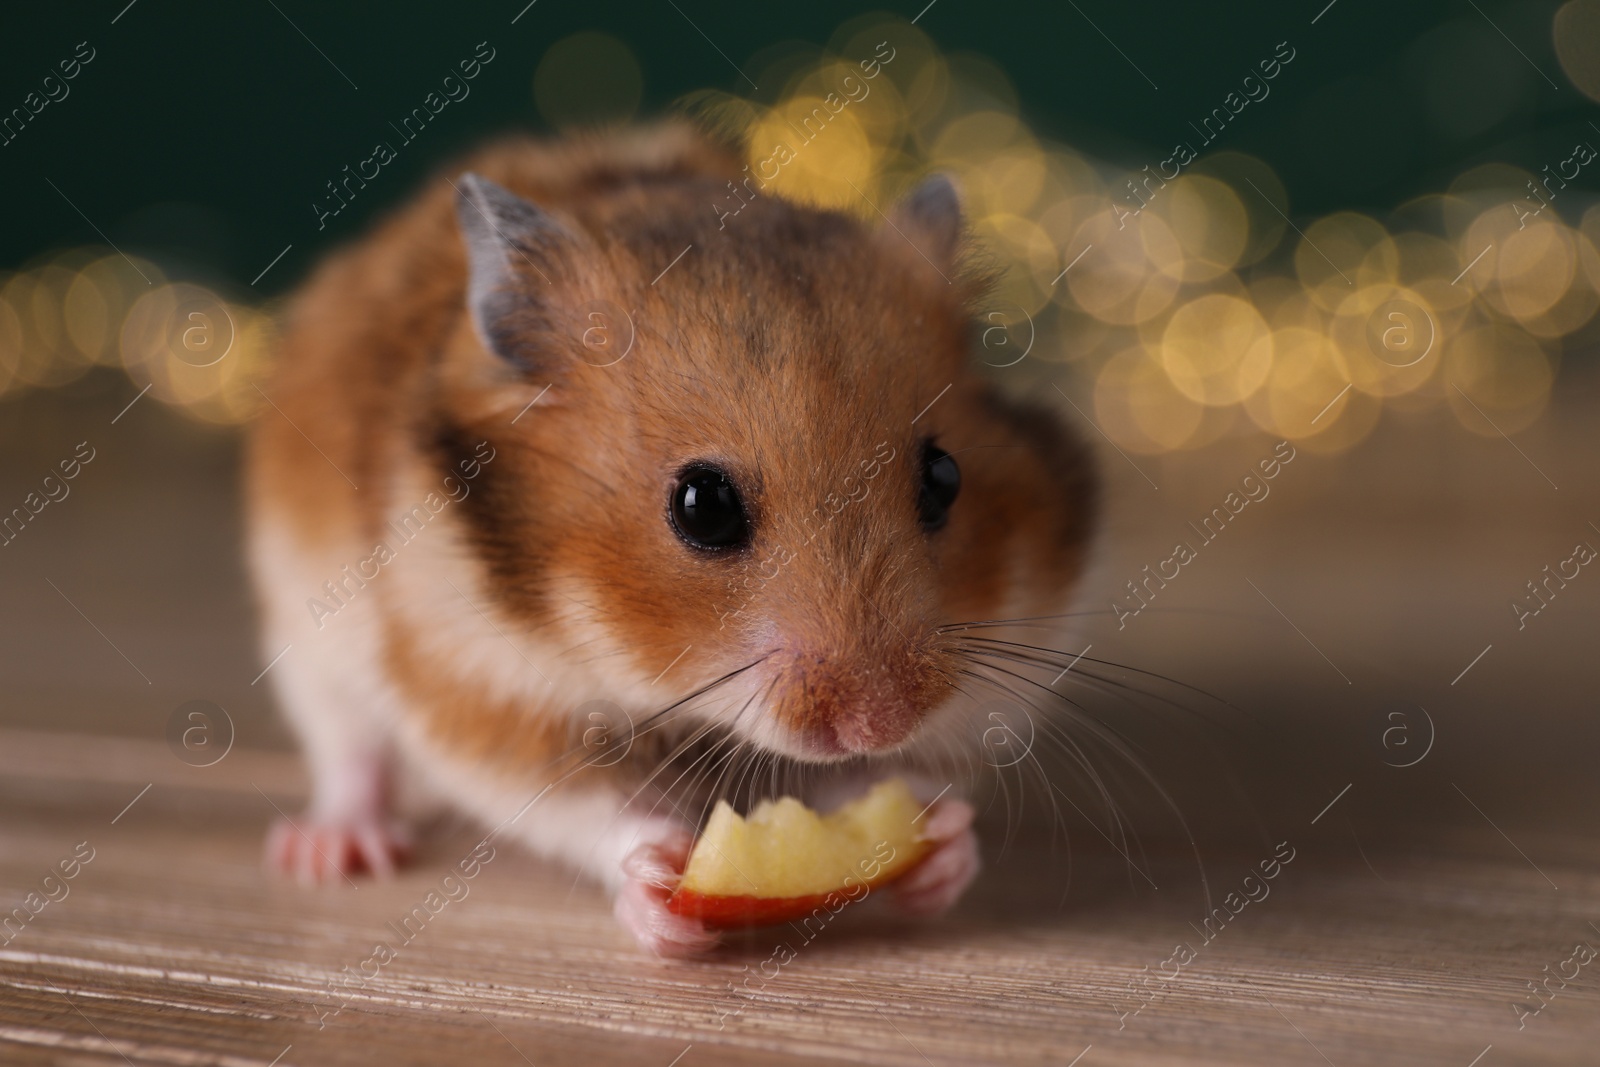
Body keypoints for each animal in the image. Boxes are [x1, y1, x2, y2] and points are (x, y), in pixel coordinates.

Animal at [246, 120, 1100, 953]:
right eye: (703, 506)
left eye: (944, 478)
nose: (880, 722)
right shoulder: (476, 688)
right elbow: (574, 803)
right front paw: (661, 877)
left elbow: (885, 782)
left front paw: (944, 841)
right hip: (311, 646)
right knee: (350, 754)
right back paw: (330, 852)